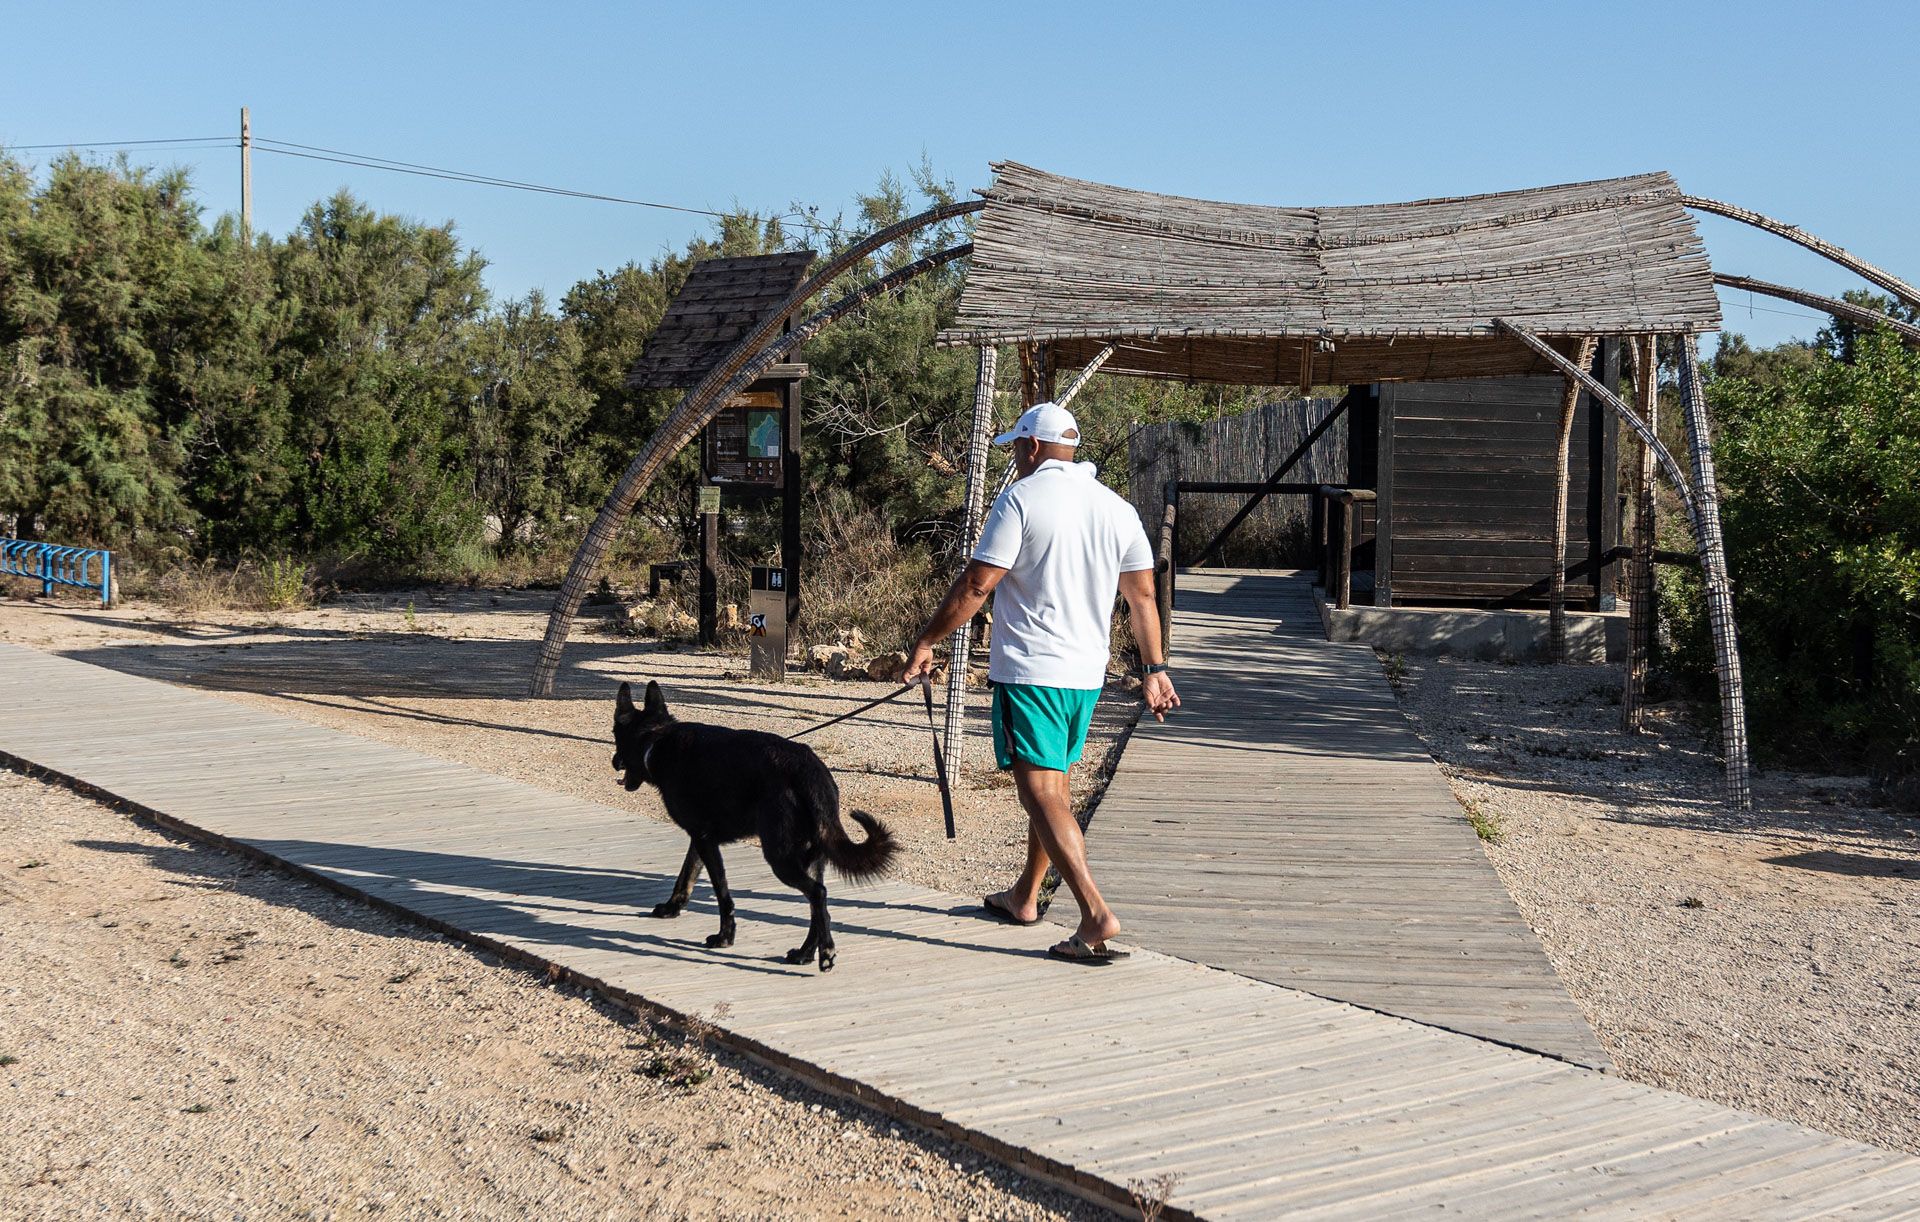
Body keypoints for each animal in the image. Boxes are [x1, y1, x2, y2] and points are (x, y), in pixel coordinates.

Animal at [606, 676, 898, 972]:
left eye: (614, 735)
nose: (614, 761)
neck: (656, 740)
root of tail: (809, 769)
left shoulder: (705, 841)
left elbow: (722, 893)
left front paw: (725, 936)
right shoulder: (700, 839)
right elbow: (685, 876)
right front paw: (672, 908)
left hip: (780, 857)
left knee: (818, 894)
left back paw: (825, 952)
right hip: (809, 857)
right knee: (819, 906)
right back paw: (804, 953)